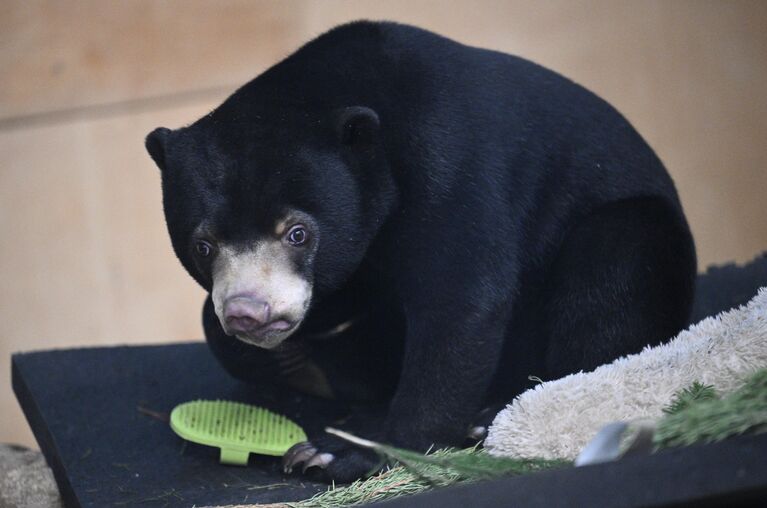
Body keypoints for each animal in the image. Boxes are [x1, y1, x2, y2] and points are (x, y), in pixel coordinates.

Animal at [147, 19, 700, 480]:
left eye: (297, 233)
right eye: (203, 245)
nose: (248, 314)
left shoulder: (453, 164)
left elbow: (461, 302)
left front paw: (346, 454)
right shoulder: (359, 255)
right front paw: (289, 368)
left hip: (632, 233)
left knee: (610, 280)